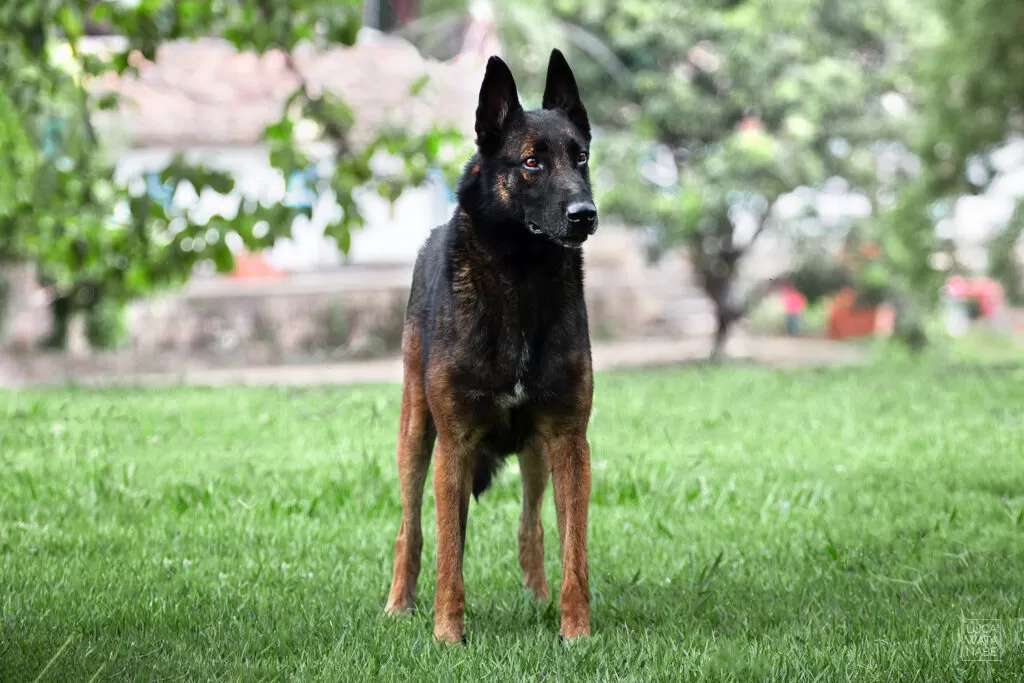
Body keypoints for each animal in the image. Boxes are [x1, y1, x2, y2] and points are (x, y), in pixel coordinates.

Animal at [380, 49, 598, 647]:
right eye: (531, 163)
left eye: (581, 158)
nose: (585, 215)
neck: (521, 279)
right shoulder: (453, 444)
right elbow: (449, 553)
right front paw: (447, 634)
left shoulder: (569, 441)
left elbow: (574, 551)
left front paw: (576, 633)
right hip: (416, 434)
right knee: (412, 530)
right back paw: (399, 605)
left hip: (537, 452)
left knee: (532, 527)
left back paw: (538, 598)